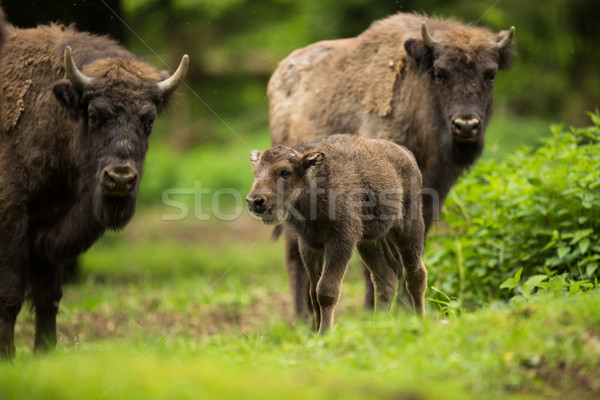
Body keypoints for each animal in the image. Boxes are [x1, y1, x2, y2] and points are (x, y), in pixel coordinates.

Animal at [0, 22, 188, 360]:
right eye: (93, 116)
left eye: (149, 121)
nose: (120, 178)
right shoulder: (12, 214)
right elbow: (10, 294)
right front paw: (8, 358)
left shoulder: (49, 233)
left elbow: (49, 297)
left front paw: (45, 354)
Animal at [246, 135, 428, 334]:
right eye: (256, 172)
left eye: (285, 172)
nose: (255, 201)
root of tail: (407, 154)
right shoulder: (309, 246)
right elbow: (313, 292)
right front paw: (316, 333)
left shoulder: (340, 242)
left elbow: (326, 290)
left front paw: (325, 332)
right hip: (369, 241)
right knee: (386, 278)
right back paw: (376, 325)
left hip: (409, 226)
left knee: (415, 273)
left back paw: (420, 320)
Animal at [268, 12, 516, 318]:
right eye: (440, 73)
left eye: (490, 74)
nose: (466, 125)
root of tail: (280, 73)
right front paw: (373, 310)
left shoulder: (426, 198)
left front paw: (403, 309)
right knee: (294, 256)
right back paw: (302, 318)